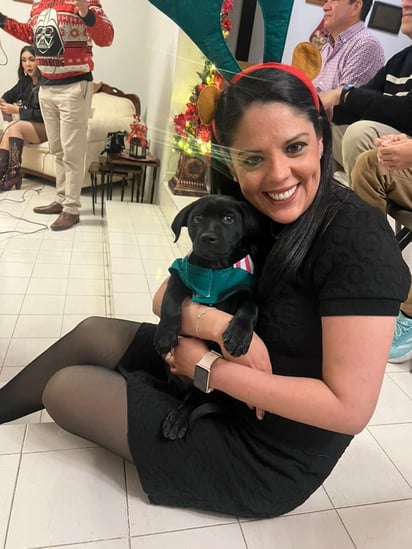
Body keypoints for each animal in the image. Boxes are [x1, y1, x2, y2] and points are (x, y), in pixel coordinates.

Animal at [154, 195, 264, 438]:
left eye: (229, 219)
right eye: (197, 218)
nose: (208, 238)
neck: (215, 269)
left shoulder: (244, 290)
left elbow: (251, 307)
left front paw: (238, 336)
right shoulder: (181, 273)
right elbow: (170, 300)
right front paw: (165, 334)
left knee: (196, 395)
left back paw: (178, 418)